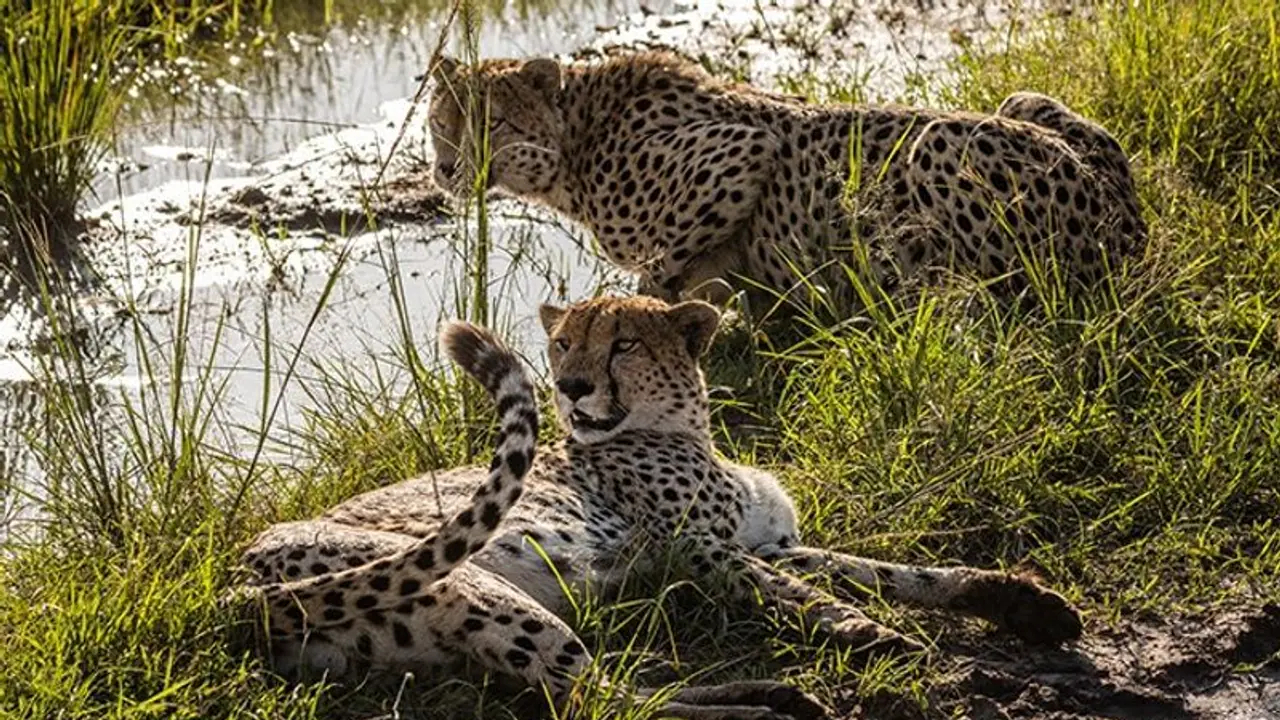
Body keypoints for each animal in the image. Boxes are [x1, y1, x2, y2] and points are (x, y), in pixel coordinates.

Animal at [234, 296, 1083, 719]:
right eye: (563, 344)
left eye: (624, 343)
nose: (571, 388)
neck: (685, 426)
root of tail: (234, 585)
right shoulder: (699, 551)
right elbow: (810, 595)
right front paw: (879, 637)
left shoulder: (765, 542)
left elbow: (895, 571)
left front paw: (1025, 604)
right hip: (471, 582)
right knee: (598, 699)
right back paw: (761, 706)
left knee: (590, 694)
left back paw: (769, 698)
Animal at [426, 52, 1146, 309]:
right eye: (439, 122)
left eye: (491, 123)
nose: (445, 169)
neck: (577, 141)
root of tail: (1127, 232)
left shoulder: (740, 153)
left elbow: (660, 267)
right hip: (1024, 101)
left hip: (935, 143)